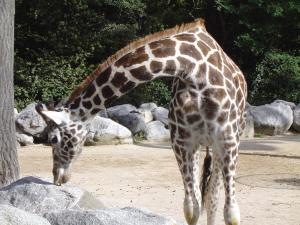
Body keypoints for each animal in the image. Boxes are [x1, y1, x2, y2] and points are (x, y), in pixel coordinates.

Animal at [37, 19, 246, 225]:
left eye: (53, 139)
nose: (57, 176)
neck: (191, 69)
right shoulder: (182, 141)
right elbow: (191, 209)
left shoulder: (227, 140)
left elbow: (231, 214)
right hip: (198, 145)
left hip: (220, 145)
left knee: (212, 196)